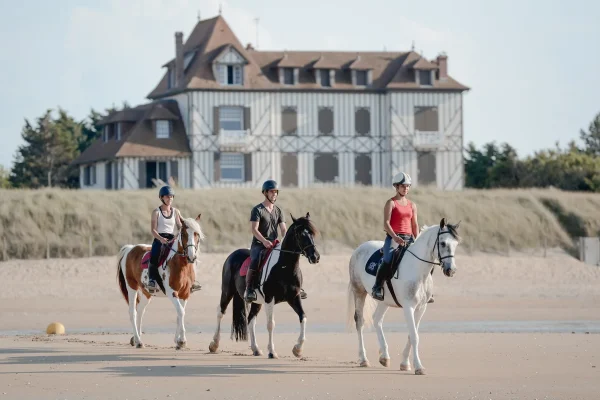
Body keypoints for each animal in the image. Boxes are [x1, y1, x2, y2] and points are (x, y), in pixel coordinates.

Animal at [116, 214, 205, 348]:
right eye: (183, 233)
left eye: (197, 234)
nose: (191, 256)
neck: (179, 263)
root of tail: (129, 248)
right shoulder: (172, 292)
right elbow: (181, 312)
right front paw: (182, 341)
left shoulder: (185, 294)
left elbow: (180, 313)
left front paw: (177, 340)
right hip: (132, 287)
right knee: (133, 312)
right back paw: (138, 341)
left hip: (146, 292)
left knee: (140, 310)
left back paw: (136, 339)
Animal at [344, 217, 462, 374]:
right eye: (443, 243)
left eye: (456, 244)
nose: (451, 270)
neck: (418, 270)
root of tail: (359, 248)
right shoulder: (408, 307)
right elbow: (414, 336)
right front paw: (418, 367)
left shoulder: (421, 308)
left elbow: (411, 334)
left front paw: (405, 363)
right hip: (359, 292)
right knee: (360, 322)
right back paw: (364, 359)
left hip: (384, 301)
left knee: (377, 320)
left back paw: (384, 356)